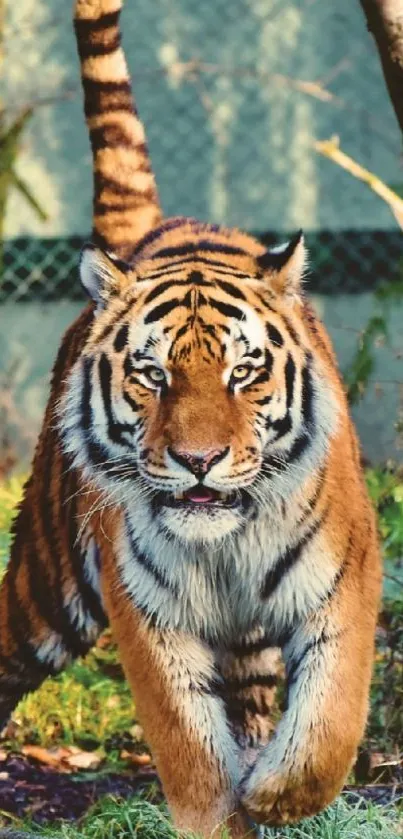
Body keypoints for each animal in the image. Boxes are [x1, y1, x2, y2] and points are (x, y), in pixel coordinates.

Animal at [0, 0, 382, 836]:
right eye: (152, 375)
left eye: (243, 372)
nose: (198, 460)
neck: (224, 546)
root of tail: (156, 225)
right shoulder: (146, 614)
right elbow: (192, 753)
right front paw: (227, 805)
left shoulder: (344, 579)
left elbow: (329, 723)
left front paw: (275, 794)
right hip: (47, 582)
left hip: (248, 645)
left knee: (260, 704)